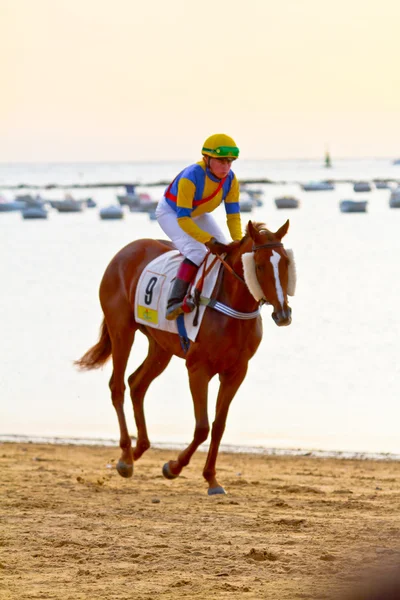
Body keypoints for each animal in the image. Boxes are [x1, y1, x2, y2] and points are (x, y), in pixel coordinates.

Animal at [76, 219, 294, 492]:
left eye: (286, 263)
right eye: (260, 265)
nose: (283, 314)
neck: (230, 305)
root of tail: (125, 251)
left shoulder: (236, 371)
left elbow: (218, 426)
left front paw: (212, 478)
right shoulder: (198, 369)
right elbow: (202, 427)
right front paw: (173, 467)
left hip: (160, 346)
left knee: (137, 384)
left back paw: (138, 450)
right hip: (121, 330)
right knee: (118, 386)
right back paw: (126, 456)